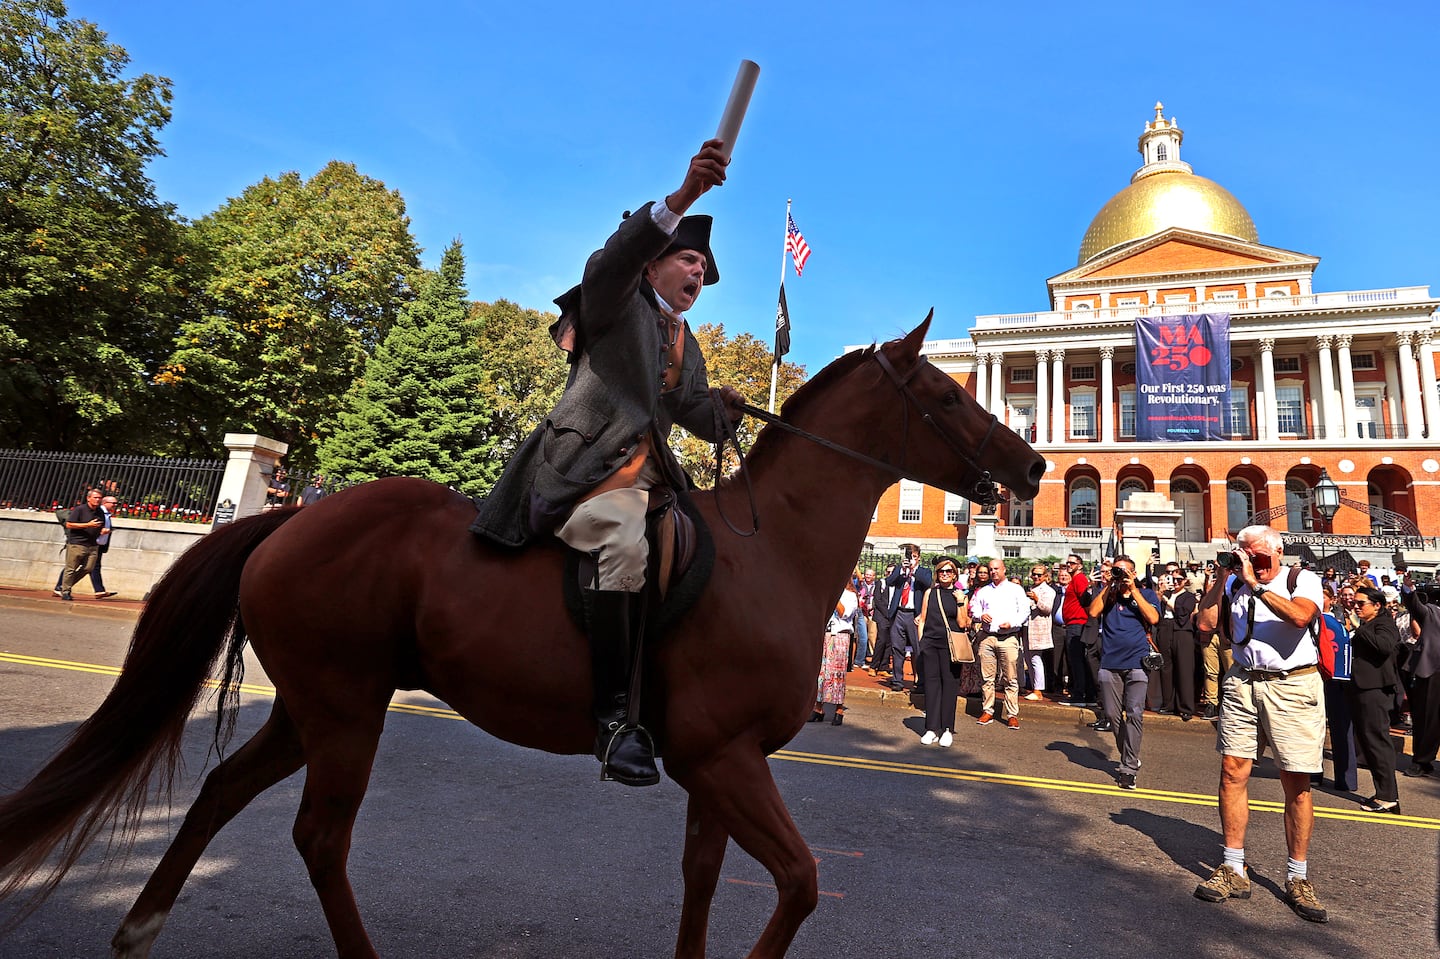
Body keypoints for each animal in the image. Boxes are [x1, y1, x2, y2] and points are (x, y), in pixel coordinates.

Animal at [0, 315, 1036, 956]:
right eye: (951, 397)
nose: (1029, 467)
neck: (769, 548)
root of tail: (290, 517)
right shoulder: (727, 758)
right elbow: (801, 881)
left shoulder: (718, 765)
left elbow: (706, 882)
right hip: (344, 710)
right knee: (320, 837)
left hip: (316, 705)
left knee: (220, 793)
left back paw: (138, 927)